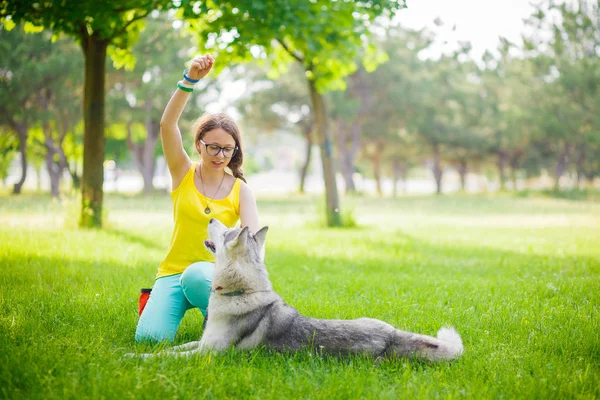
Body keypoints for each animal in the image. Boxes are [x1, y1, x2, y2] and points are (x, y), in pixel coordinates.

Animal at [131, 220, 464, 360]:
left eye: (226, 231)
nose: (210, 215)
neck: (241, 294)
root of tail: (392, 335)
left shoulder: (210, 353)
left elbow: (166, 358)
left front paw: (136, 359)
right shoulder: (202, 343)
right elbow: (171, 348)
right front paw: (134, 351)